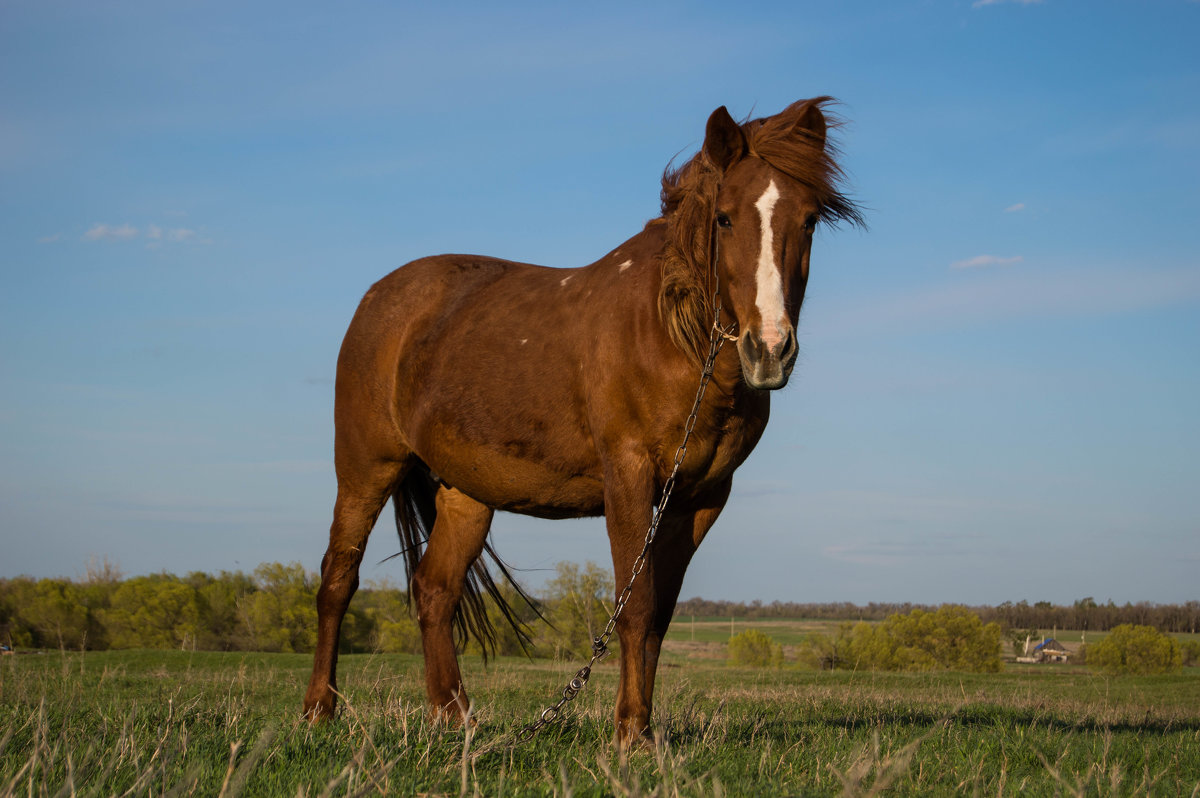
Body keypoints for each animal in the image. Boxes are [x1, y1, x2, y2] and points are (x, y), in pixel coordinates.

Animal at [300, 96, 864, 744]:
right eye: (724, 219)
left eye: (810, 221)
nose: (769, 350)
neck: (670, 334)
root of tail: (380, 298)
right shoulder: (629, 479)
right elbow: (634, 606)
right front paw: (630, 736)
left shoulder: (699, 498)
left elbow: (659, 615)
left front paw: (642, 727)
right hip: (366, 468)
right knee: (338, 580)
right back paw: (319, 710)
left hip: (467, 492)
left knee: (435, 589)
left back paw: (456, 718)